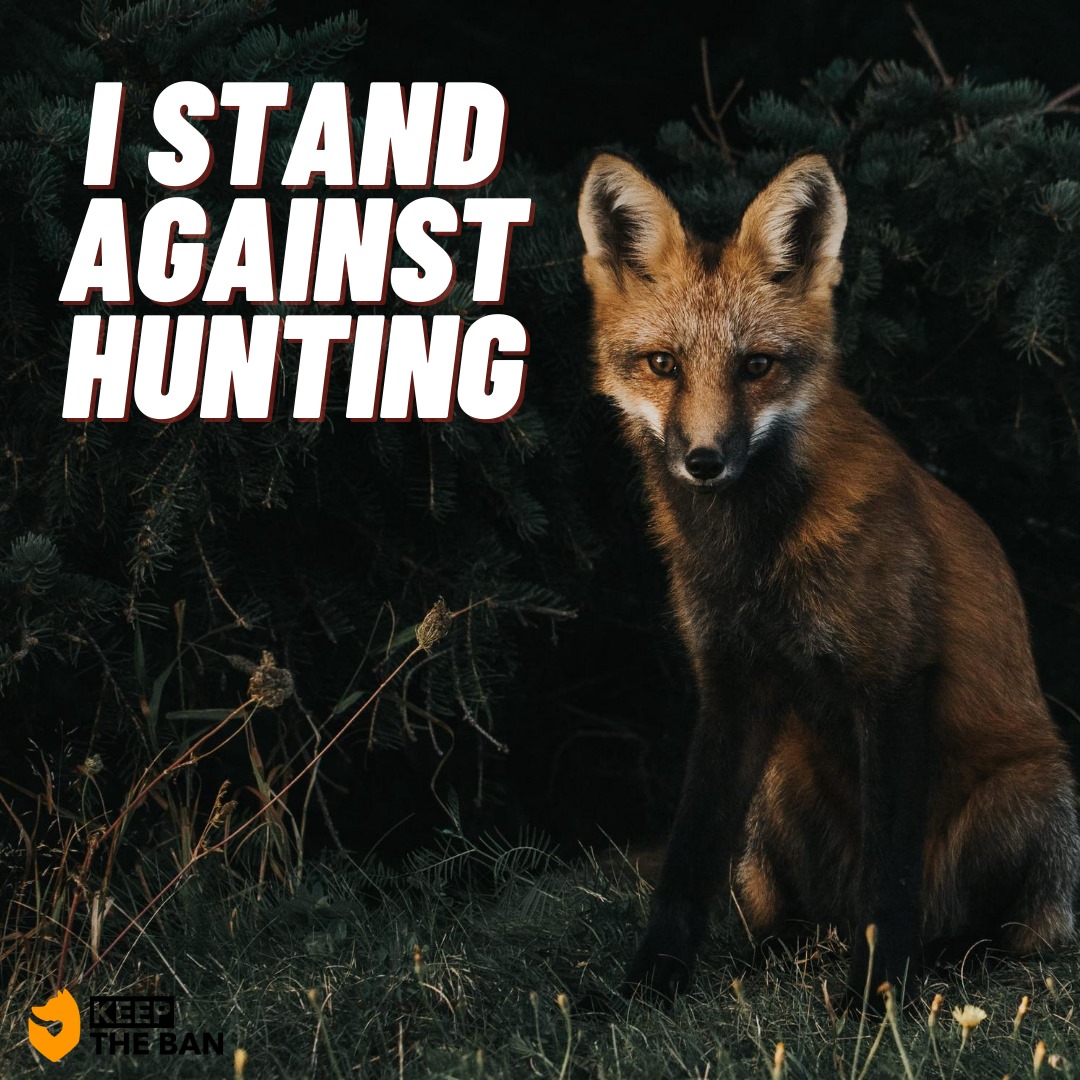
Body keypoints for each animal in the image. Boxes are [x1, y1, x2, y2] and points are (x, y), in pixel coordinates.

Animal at [577, 151, 1080, 1002]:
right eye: (662, 365)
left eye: (757, 366)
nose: (704, 461)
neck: (754, 557)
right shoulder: (730, 683)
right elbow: (686, 860)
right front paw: (648, 984)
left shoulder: (894, 677)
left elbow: (890, 874)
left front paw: (878, 998)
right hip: (779, 784)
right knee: (792, 917)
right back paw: (778, 952)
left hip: (1032, 794)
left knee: (998, 933)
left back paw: (942, 958)